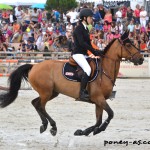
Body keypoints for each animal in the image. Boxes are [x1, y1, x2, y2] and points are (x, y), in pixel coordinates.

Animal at [0, 30, 144, 136]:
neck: (105, 70)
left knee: (35, 103)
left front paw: (83, 131)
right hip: (46, 92)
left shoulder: (98, 101)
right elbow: (110, 114)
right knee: (40, 106)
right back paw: (53, 126)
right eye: (128, 45)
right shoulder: (99, 98)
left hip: (51, 92)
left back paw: (45, 125)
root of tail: (34, 66)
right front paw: (97, 130)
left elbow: (98, 120)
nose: (141, 59)